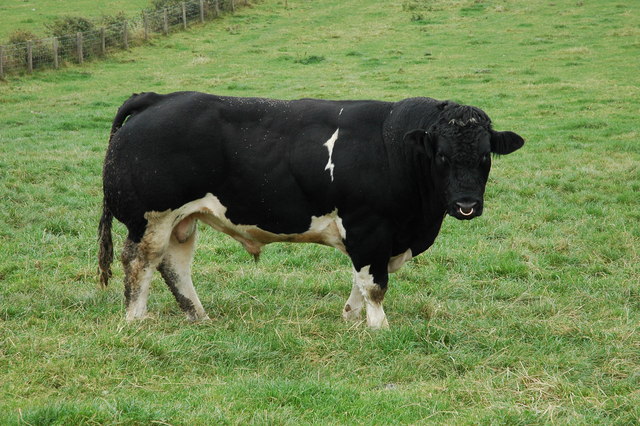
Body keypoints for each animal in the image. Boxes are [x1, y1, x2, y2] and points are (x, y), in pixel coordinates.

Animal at [98, 92, 524, 328]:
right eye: (442, 156)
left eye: (485, 156)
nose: (466, 204)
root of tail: (160, 98)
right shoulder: (368, 226)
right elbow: (374, 282)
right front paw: (379, 327)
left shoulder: (376, 236)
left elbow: (360, 279)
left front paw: (352, 318)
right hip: (151, 218)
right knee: (140, 261)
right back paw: (136, 319)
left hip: (183, 220)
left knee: (175, 265)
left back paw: (198, 316)